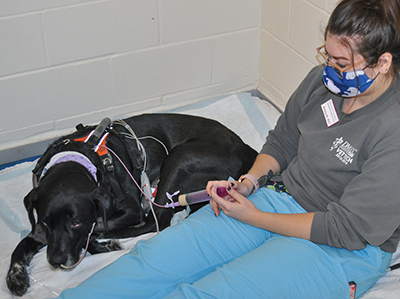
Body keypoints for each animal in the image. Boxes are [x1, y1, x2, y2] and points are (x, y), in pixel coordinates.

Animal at [7, 113, 256, 298]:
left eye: (76, 223)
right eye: (46, 223)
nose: (56, 262)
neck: (76, 159)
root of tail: (245, 148)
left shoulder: (129, 208)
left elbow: (98, 227)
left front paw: (101, 243)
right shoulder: (41, 229)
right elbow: (21, 246)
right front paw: (15, 277)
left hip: (179, 158)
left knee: (156, 222)